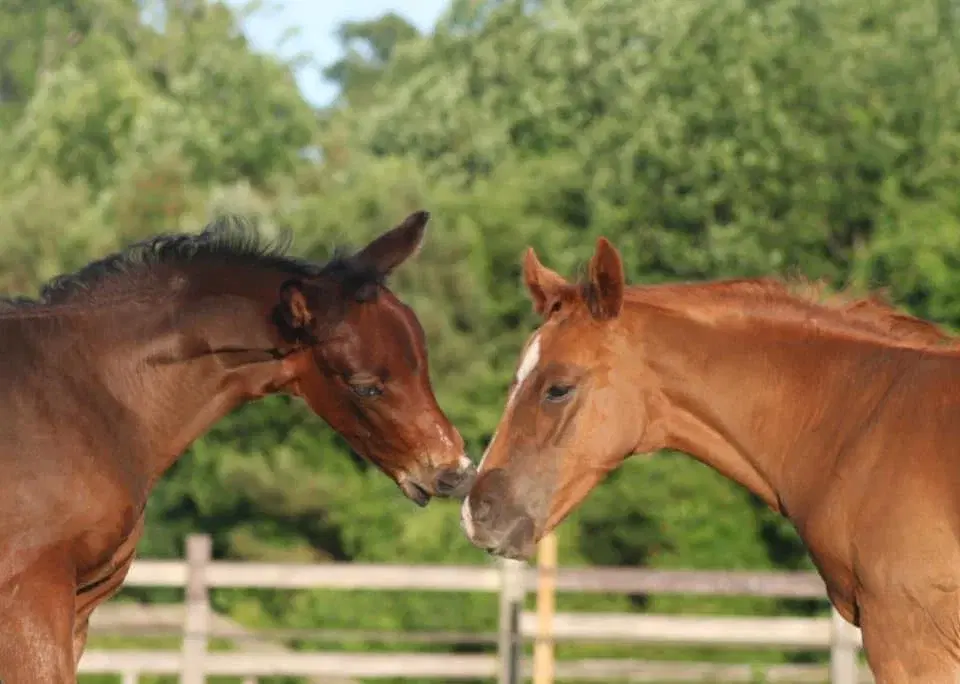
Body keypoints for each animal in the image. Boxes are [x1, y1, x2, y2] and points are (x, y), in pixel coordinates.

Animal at [0, 210, 476, 682]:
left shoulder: (78, 609)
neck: (83, 390)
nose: (453, 471)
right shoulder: (32, 598)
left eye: (422, 361)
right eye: (365, 387)